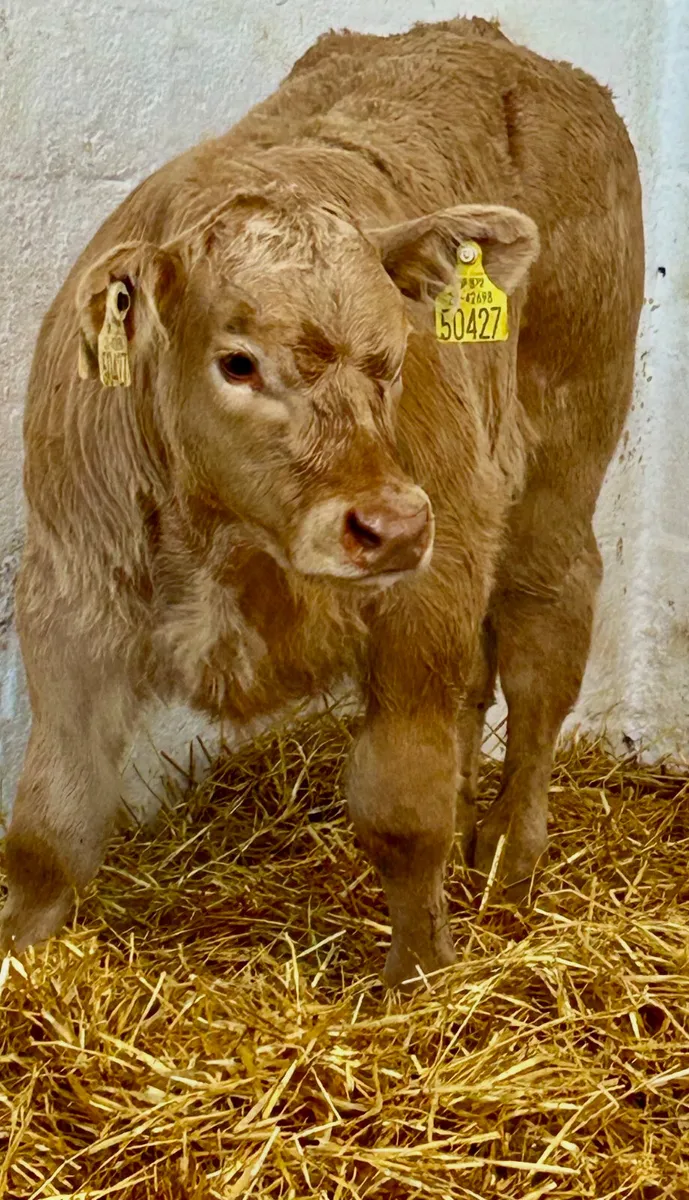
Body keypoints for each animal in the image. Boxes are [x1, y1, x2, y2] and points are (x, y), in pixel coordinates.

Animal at [0, 17, 643, 987]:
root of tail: (496, 41)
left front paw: (416, 981)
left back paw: (505, 849)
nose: (392, 526)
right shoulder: (69, 596)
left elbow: (401, 808)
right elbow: (50, 825)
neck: (230, 544)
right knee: (477, 688)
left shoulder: (424, 591)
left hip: (558, 461)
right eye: (236, 362)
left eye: (394, 357)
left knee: (543, 642)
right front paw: (21, 961)